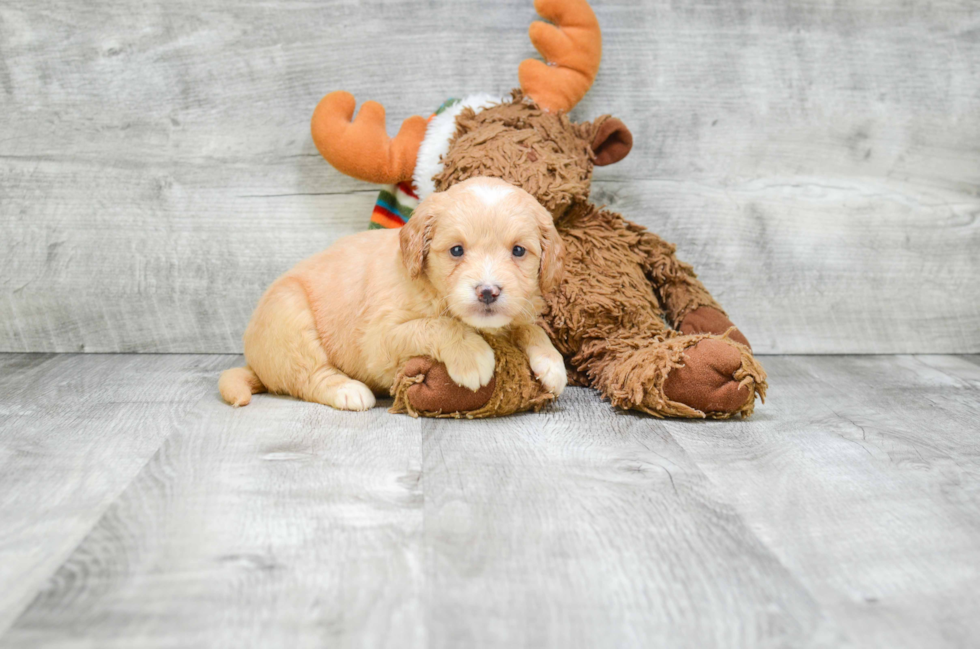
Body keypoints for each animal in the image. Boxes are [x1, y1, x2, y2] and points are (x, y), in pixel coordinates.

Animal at [216, 176, 568, 410]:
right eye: (456, 250)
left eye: (519, 251)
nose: (488, 292)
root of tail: (256, 365)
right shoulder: (380, 339)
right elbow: (437, 325)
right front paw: (472, 356)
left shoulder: (515, 314)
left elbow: (529, 327)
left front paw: (551, 362)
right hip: (289, 318)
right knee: (309, 375)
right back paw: (348, 391)